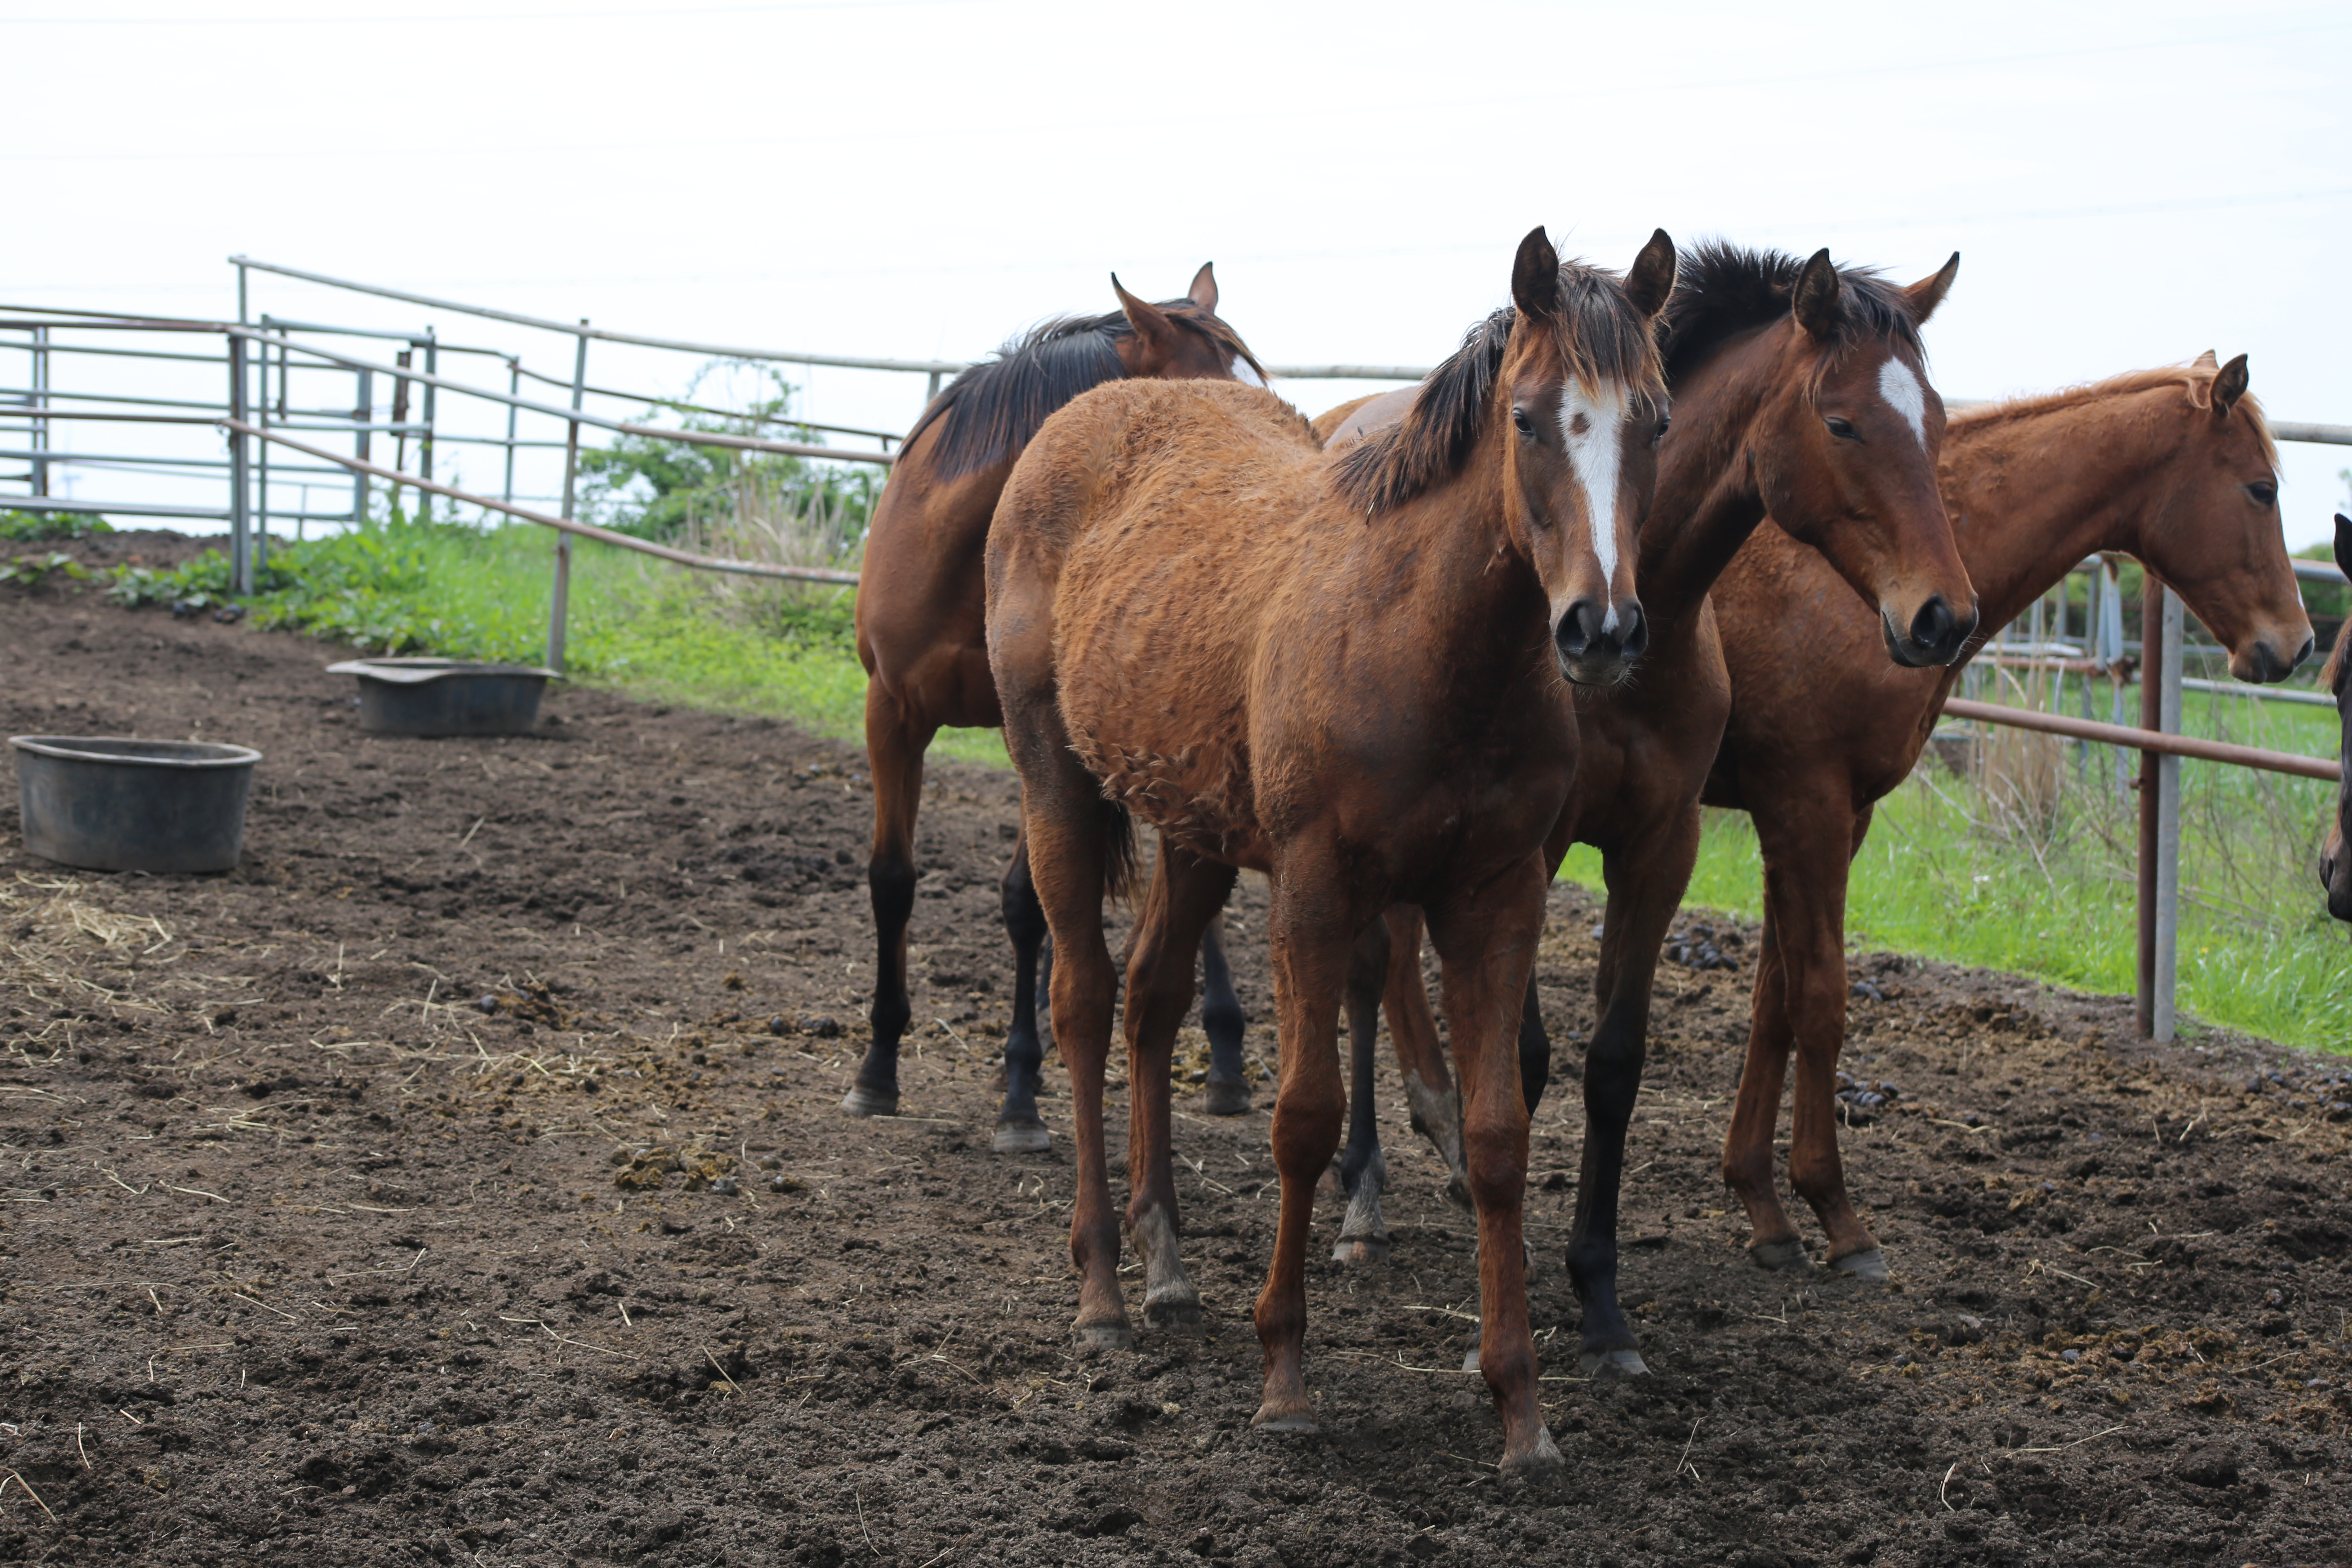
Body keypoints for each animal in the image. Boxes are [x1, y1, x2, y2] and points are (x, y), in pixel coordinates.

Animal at [851, 270, 1270, 1147]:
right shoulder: (891, 714)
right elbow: (893, 879)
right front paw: (877, 1067)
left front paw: (1020, 1092)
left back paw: (1221, 1058)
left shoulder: (1032, 735)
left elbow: (1024, 905)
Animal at [983, 230, 1684, 1476]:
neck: (1425, 641)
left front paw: (1521, 1410)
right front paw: (1286, 1380)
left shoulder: (1497, 897)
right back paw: (1105, 1286)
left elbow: (1495, 1134)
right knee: (1084, 1000)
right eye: (1527, 420)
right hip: (1056, 787)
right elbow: (1304, 1119)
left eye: (1652, 417)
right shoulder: (1315, 888)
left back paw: (1166, 1264)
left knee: (1152, 1000)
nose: (1600, 632)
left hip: (1196, 834)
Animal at [1336, 236, 1976, 1382]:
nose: (1942, 615)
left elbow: (1614, 1061)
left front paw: (1601, 1303)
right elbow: (1528, 1062)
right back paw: (1362, 1195)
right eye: (1841, 421)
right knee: (1365, 975)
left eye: (1936, 421)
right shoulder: (1532, 851)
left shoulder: (1660, 842)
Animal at [1712, 352, 2314, 1278]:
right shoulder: (1805, 807)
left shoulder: (1828, 818)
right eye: (2260, 488)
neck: (1862, 573)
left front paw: (1764, 1208)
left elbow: (1774, 999)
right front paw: (1838, 1216)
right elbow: (1821, 1001)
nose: (2299, 644)